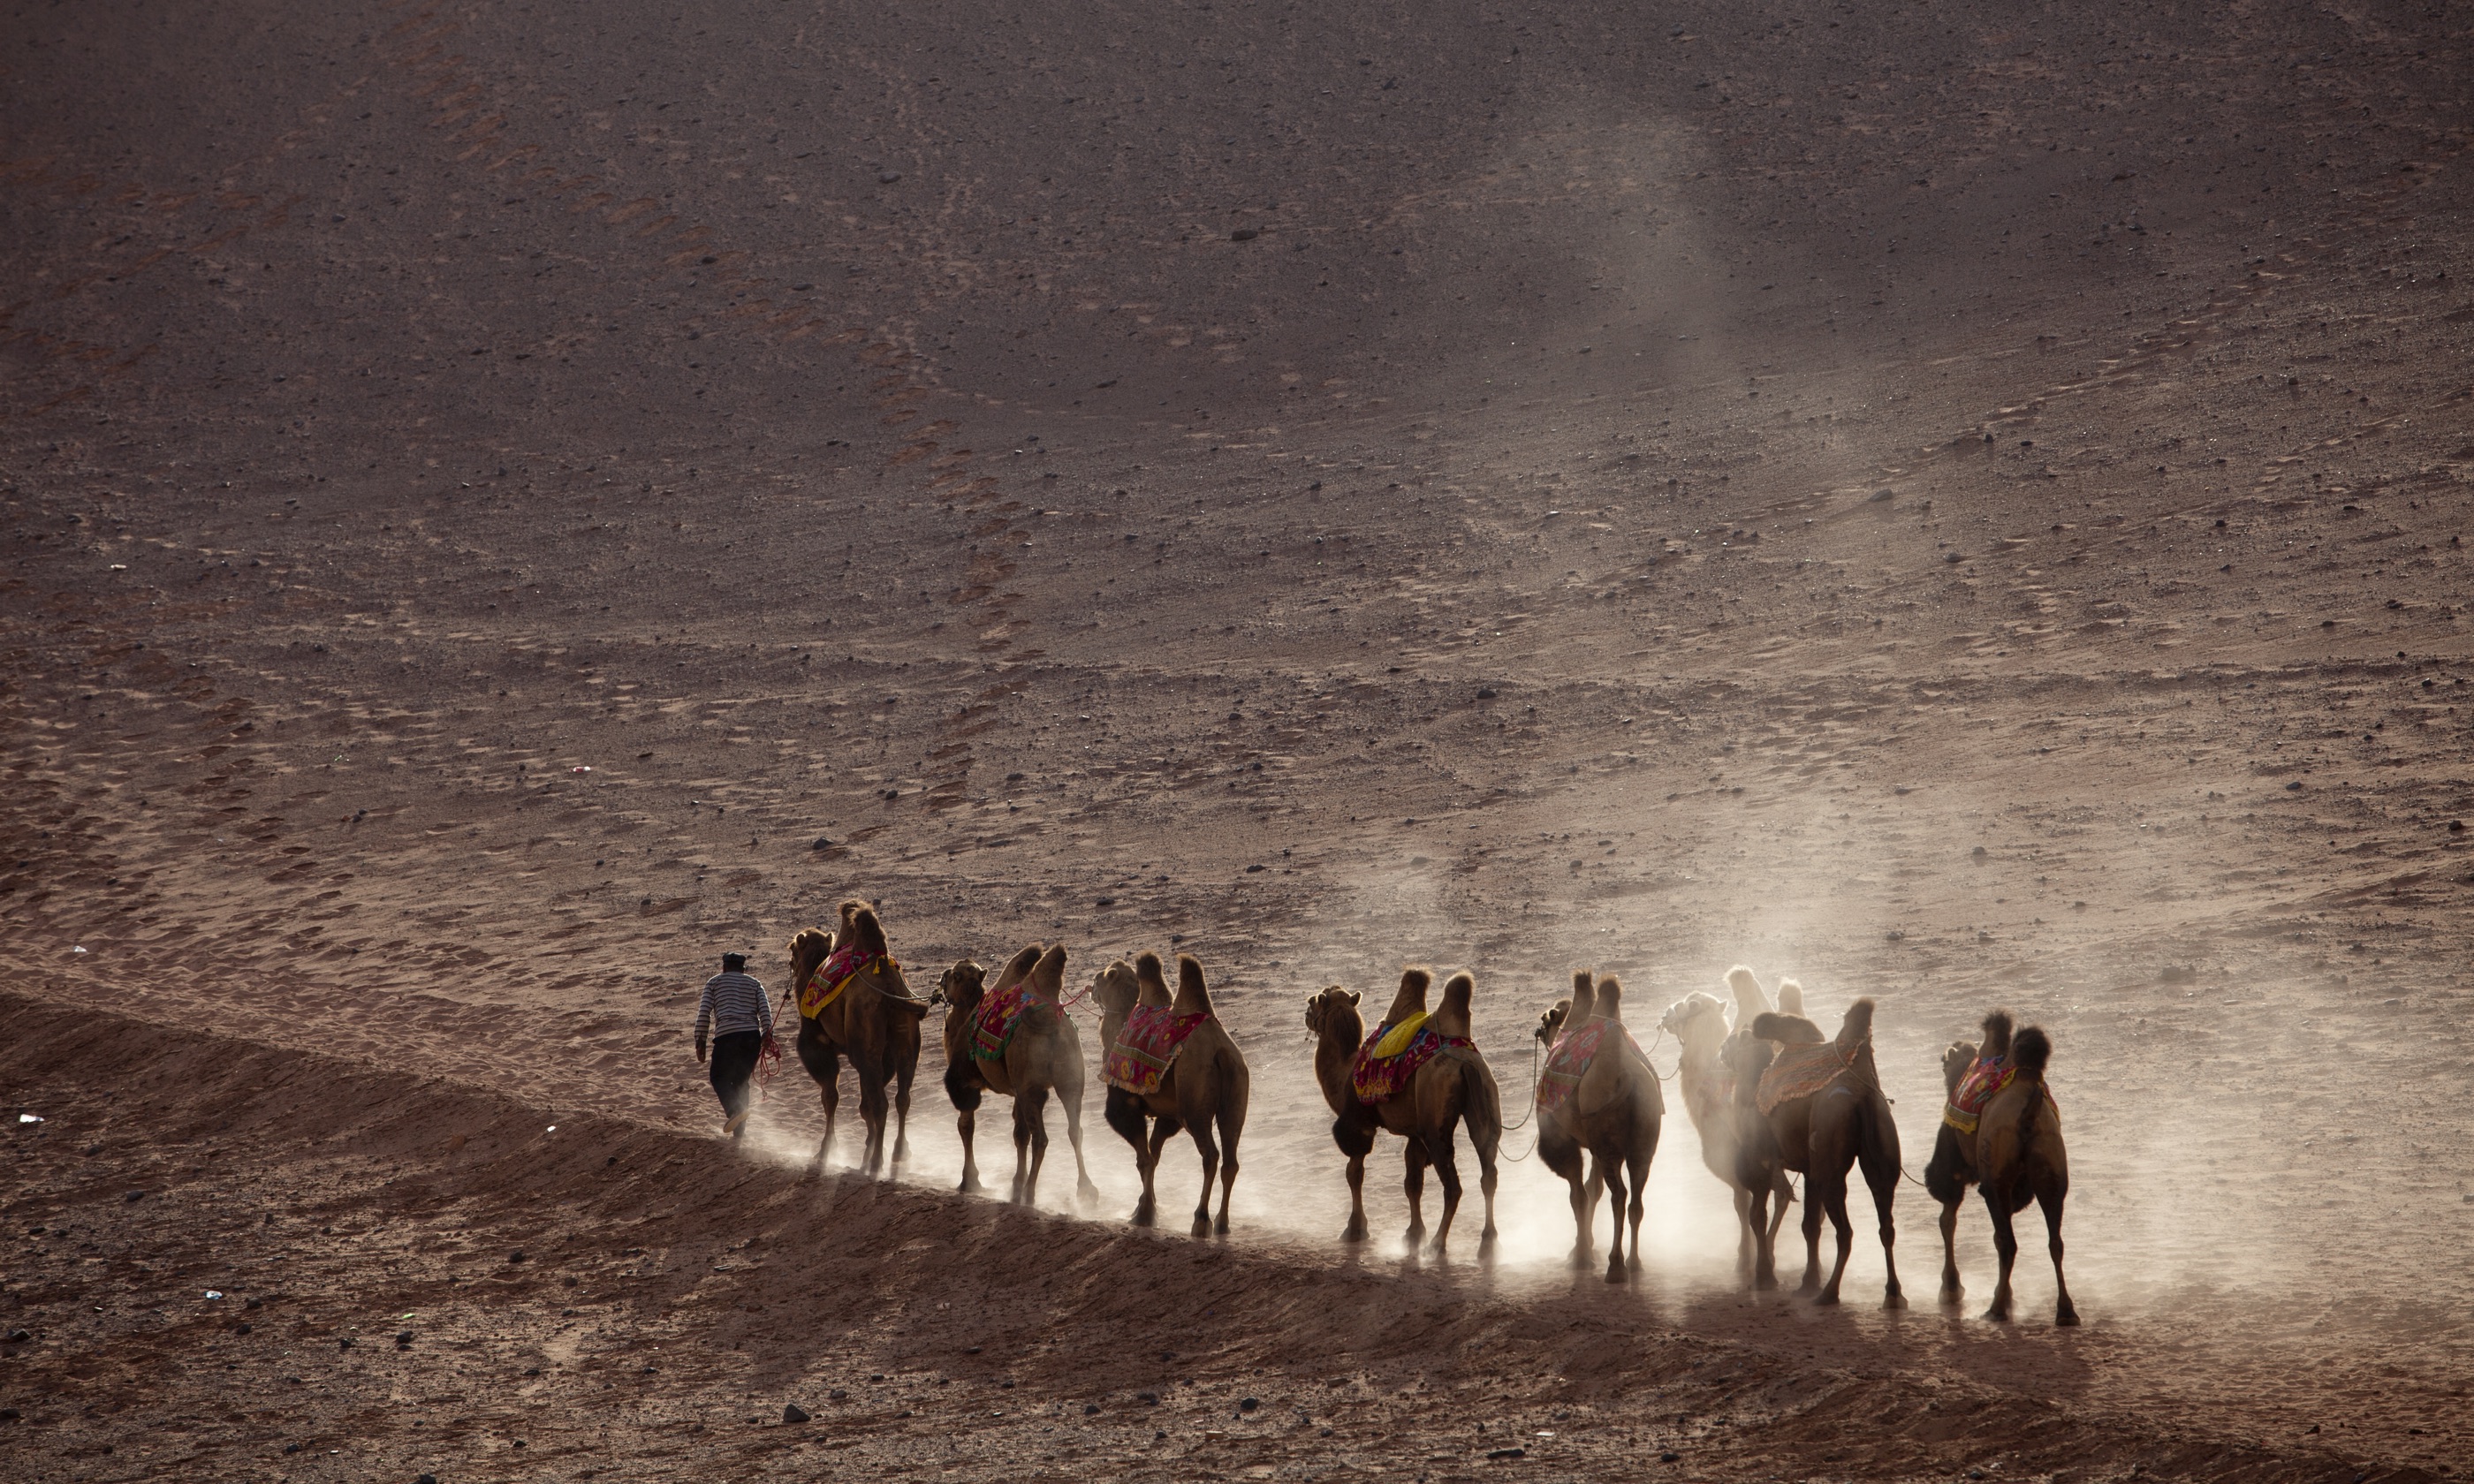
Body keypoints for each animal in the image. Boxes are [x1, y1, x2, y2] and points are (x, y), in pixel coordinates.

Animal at [781, 900, 930, 1177]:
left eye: (792, 948)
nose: (790, 962)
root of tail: (890, 989)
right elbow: (863, 1104)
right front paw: (867, 1148)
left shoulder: (817, 1043)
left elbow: (831, 1096)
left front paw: (826, 1150)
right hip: (906, 1038)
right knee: (902, 1097)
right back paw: (898, 1153)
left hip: (867, 1040)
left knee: (881, 1104)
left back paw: (877, 1163)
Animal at [935, 944, 1103, 1212]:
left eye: (954, 974)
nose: (942, 976)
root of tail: (1052, 1022)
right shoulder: (1017, 1088)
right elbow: (1019, 1134)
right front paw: (1014, 1184)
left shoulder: (964, 1081)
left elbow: (965, 1125)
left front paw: (969, 1181)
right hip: (1070, 1079)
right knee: (1075, 1130)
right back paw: (1086, 1191)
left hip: (1032, 1088)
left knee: (1042, 1138)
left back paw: (1031, 1193)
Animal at [1306, 969, 1494, 1256]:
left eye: (1316, 1000)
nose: (1306, 1012)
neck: (1344, 1070)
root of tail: (1467, 1065)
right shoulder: (1414, 1134)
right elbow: (1412, 1183)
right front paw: (1412, 1233)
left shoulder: (1358, 1123)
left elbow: (1354, 1173)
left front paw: (1355, 1229)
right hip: (1485, 1101)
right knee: (1488, 1172)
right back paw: (1489, 1240)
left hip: (1435, 1126)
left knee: (1453, 1187)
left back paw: (1438, 1244)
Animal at [1721, 1003, 1909, 1306]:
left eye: (1735, 1038)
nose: (1721, 1050)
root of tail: (1862, 1092)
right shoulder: (1807, 1169)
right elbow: (1810, 1225)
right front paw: (1807, 1281)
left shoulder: (1761, 1163)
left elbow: (1757, 1216)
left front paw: (1764, 1277)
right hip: (1881, 1158)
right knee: (1886, 1225)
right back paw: (1893, 1294)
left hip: (1829, 1166)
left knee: (1846, 1231)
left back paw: (1830, 1293)